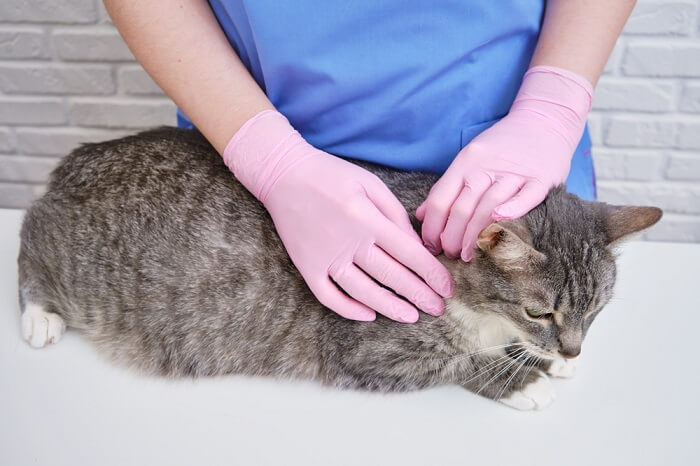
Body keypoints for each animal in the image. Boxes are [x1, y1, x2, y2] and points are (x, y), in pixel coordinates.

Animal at [16, 126, 660, 408]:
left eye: (594, 312)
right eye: (540, 311)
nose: (572, 347)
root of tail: (81, 156)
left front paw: (544, 361)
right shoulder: (373, 354)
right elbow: (461, 362)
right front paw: (523, 377)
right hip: (71, 258)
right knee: (27, 236)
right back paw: (39, 314)